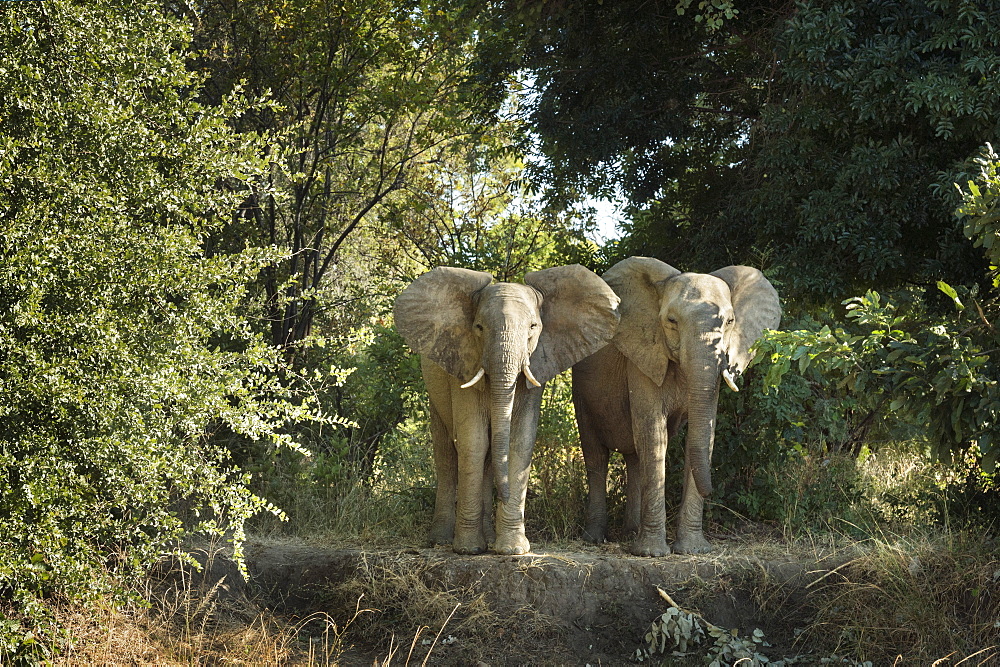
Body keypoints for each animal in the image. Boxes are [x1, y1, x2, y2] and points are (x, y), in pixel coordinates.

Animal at [394, 264, 620, 552]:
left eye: (533, 327)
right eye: (478, 327)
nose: (504, 494)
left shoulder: (537, 365)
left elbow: (519, 440)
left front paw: (513, 549)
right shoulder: (464, 361)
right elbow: (473, 441)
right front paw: (468, 549)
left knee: (490, 456)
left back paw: (489, 539)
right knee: (447, 453)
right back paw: (442, 540)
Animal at [572, 258, 780, 556]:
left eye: (730, 322)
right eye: (671, 321)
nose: (714, 493)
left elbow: (702, 433)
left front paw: (693, 550)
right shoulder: (644, 356)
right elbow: (653, 433)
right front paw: (651, 554)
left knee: (635, 458)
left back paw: (630, 533)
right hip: (581, 392)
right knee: (596, 456)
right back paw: (595, 538)